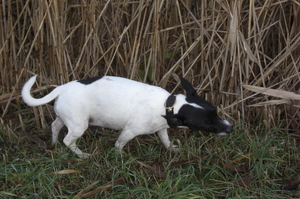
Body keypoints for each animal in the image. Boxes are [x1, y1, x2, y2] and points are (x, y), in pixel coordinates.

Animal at [21, 75, 232, 158]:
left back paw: (53, 144)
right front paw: (120, 155)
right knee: (68, 140)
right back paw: (82, 155)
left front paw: (172, 148)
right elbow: (119, 144)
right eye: (207, 122)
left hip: (67, 118)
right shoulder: (129, 131)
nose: (231, 128)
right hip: (79, 125)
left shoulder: (162, 129)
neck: (169, 105)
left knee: (55, 127)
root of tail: (61, 88)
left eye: (216, 111)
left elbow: (165, 140)